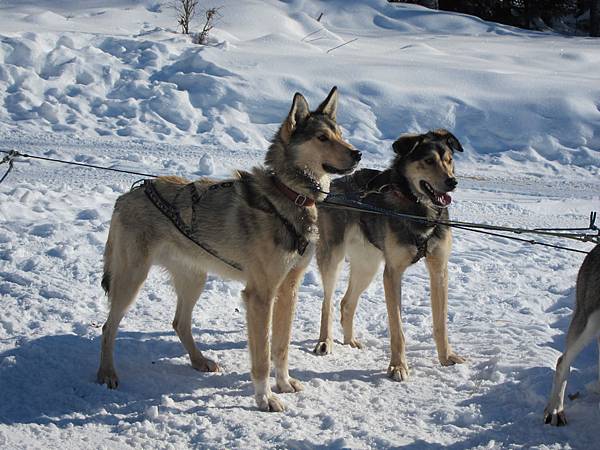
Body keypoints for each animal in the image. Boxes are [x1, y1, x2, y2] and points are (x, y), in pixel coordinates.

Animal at [98, 87, 360, 412]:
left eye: (340, 134)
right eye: (322, 137)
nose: (358, 153)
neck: (289, 198)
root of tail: (128, 195)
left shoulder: (288, 290)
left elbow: (281, 347)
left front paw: (284, 384)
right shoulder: (260, 296)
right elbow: (262, 356)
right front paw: (264, 397)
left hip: (194, 279)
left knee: (179, 323)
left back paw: (199, 361)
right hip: (131, 280)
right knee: (108, 328)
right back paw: (107, 373)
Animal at [316, 129, 466, 380]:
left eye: (449, 160)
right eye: (428, 160)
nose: (452, 182)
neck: (420, 211)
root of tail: (335, 185)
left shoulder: (439, 270)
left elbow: (440, 323)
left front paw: (446, 357)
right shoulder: (393, 273)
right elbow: (397, 329)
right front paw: (398, 366)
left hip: (367, 267)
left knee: (346, 303)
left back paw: (350, 341)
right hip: (333, 259)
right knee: (328, 303)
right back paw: (325, 341)